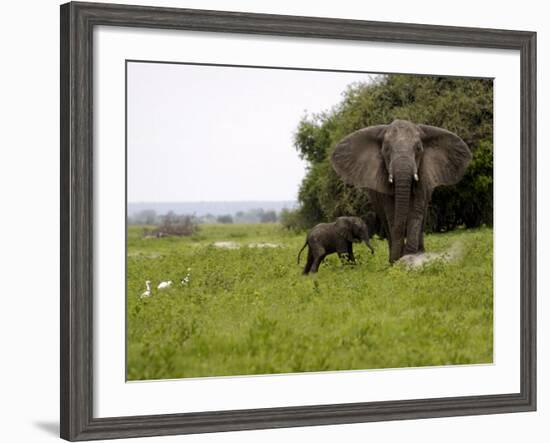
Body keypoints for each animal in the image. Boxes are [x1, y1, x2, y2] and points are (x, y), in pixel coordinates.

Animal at [334, 119, 472, 262]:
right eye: (386, 149)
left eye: (418, 149)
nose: (398, 258)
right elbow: (392, 214)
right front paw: (398, 261)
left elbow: (416, 212)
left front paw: (411, 257)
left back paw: (420, 252)